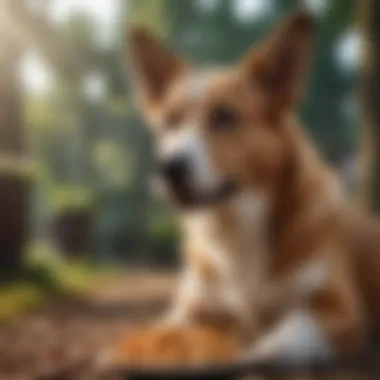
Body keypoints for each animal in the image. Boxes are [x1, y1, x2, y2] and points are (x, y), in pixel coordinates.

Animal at [115, 10, 380, 368]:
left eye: (224, 117)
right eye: (170, 121)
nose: (169, 167)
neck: (235, 224)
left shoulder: (338, 310)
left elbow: (275, 340)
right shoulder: (190, 309)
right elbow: (168, 327)